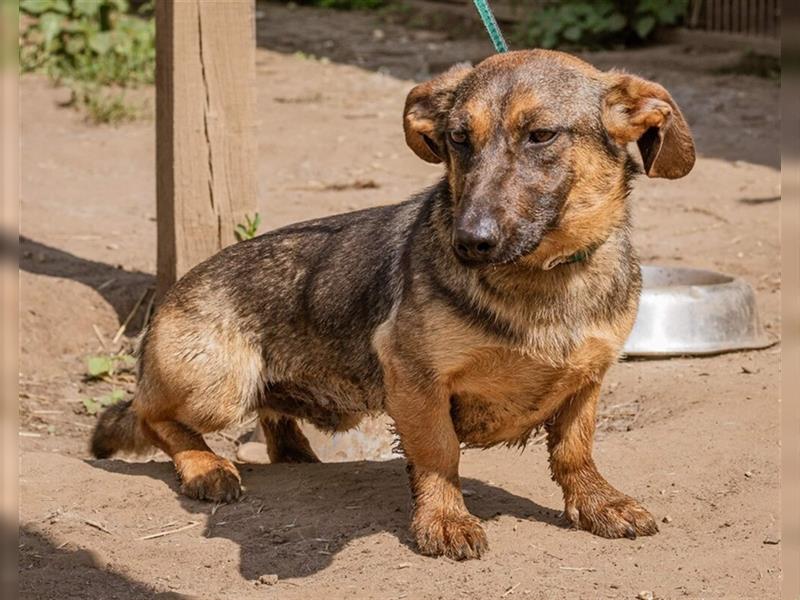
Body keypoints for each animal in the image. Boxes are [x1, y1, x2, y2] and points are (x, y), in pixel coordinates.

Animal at [92, 49, 692, 560]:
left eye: (541, 135)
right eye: (458, 139)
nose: (469, 242)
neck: (544, 276)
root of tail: (174, 292)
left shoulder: (587, 378)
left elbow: (575, 449)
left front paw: (597, 502)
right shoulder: (415, 377)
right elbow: (439, 452)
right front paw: (444, 520)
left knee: (269, 418)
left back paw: (294, 453)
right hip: (219, 384)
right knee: (146, 414)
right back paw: (204, 466)